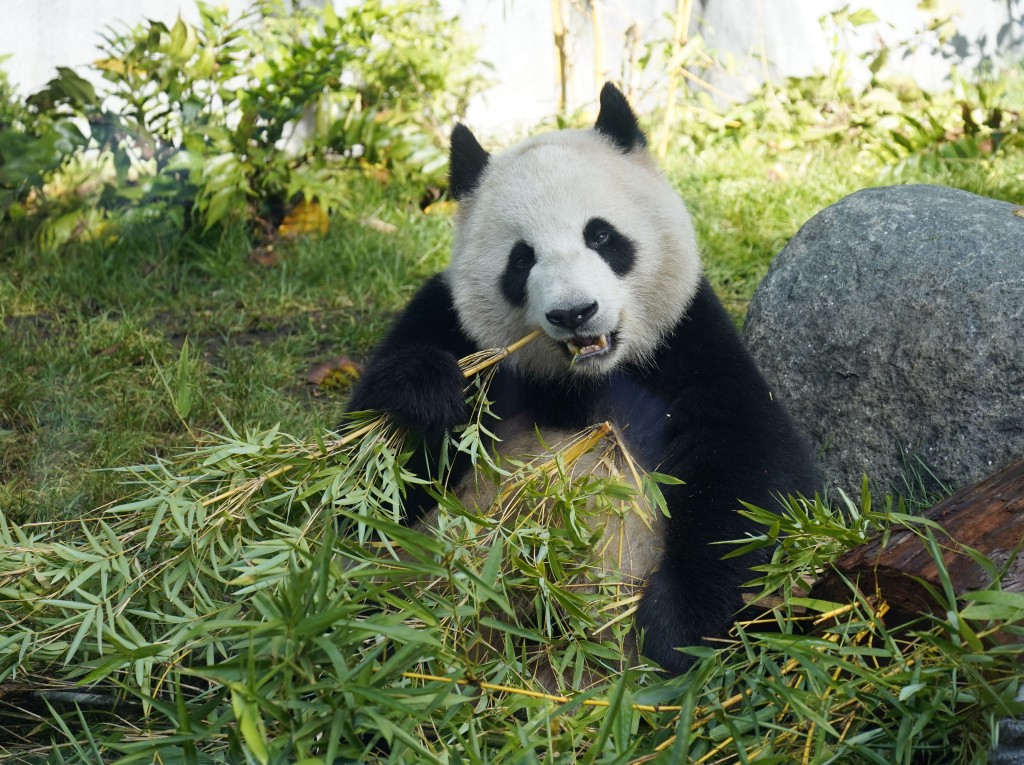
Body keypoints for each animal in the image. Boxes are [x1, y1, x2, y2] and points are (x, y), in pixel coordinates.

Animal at [348, 82, 819, 675]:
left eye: (601, 235)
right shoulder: (449, 322)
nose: (574, 313)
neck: (582, 380)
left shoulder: (688, 343)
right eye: (521, 259)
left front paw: (675, 631)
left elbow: (750, 470)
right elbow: (369, 485)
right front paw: (425, 395)